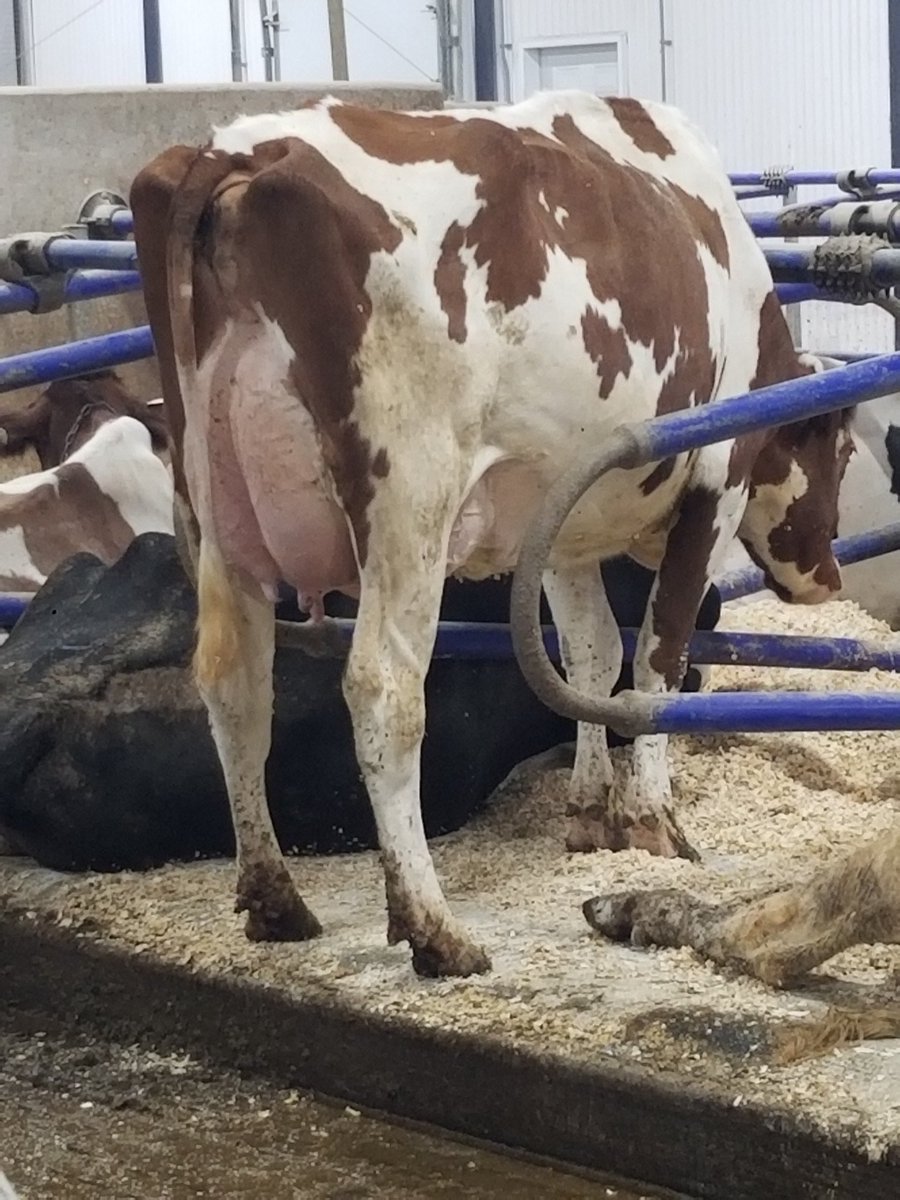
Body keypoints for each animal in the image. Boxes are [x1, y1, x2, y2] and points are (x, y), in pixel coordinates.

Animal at [130, 90, 853, 977]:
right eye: (842, 450)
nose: (828, 575)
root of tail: (241, 150)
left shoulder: (564, 519)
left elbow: (589, 655)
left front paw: (591, 814)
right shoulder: (713, 483)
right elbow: (658, 658)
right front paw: (653, 823)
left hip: (215, 508)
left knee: (236, 688)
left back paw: (275, 900)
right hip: (411, 495)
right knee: (383, 691)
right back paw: (433, 927)